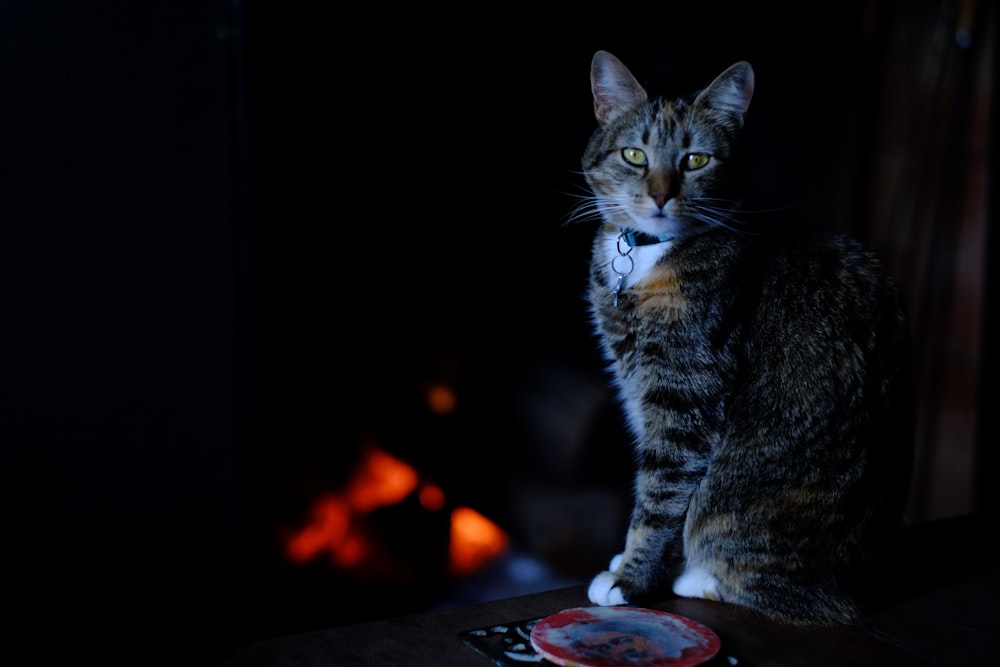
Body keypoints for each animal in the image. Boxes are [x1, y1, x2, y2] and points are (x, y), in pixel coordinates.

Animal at [580, 51, 916, 628]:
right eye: (634, 155)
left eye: (695, 160)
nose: (661, 195)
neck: (646, 257)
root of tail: (866, 579)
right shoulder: (642, 392)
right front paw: (629, 563)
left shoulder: (684, 396)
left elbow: (660, 496)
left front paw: (631, 582)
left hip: (740, 501)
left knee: (807, 599)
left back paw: (698, 577)